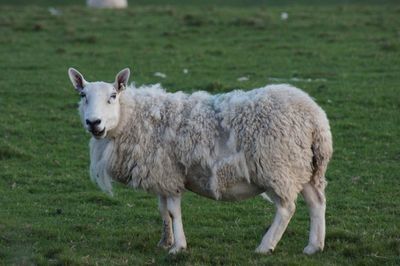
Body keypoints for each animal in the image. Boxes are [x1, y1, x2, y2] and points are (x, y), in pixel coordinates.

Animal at [68, 67, 332, 255]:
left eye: (113, 96)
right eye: (83, 95)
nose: (94, 123)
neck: (133, 117)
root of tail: (315, 117)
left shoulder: (170, 173)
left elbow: (173, 211)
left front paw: (178, 247)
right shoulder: (161, 175)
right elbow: (162, 210)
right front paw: (165, 242)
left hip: (278, 166)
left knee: (287, 208)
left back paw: (265, 246)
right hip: (305, 166)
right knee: (316, 202)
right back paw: (314, 247)